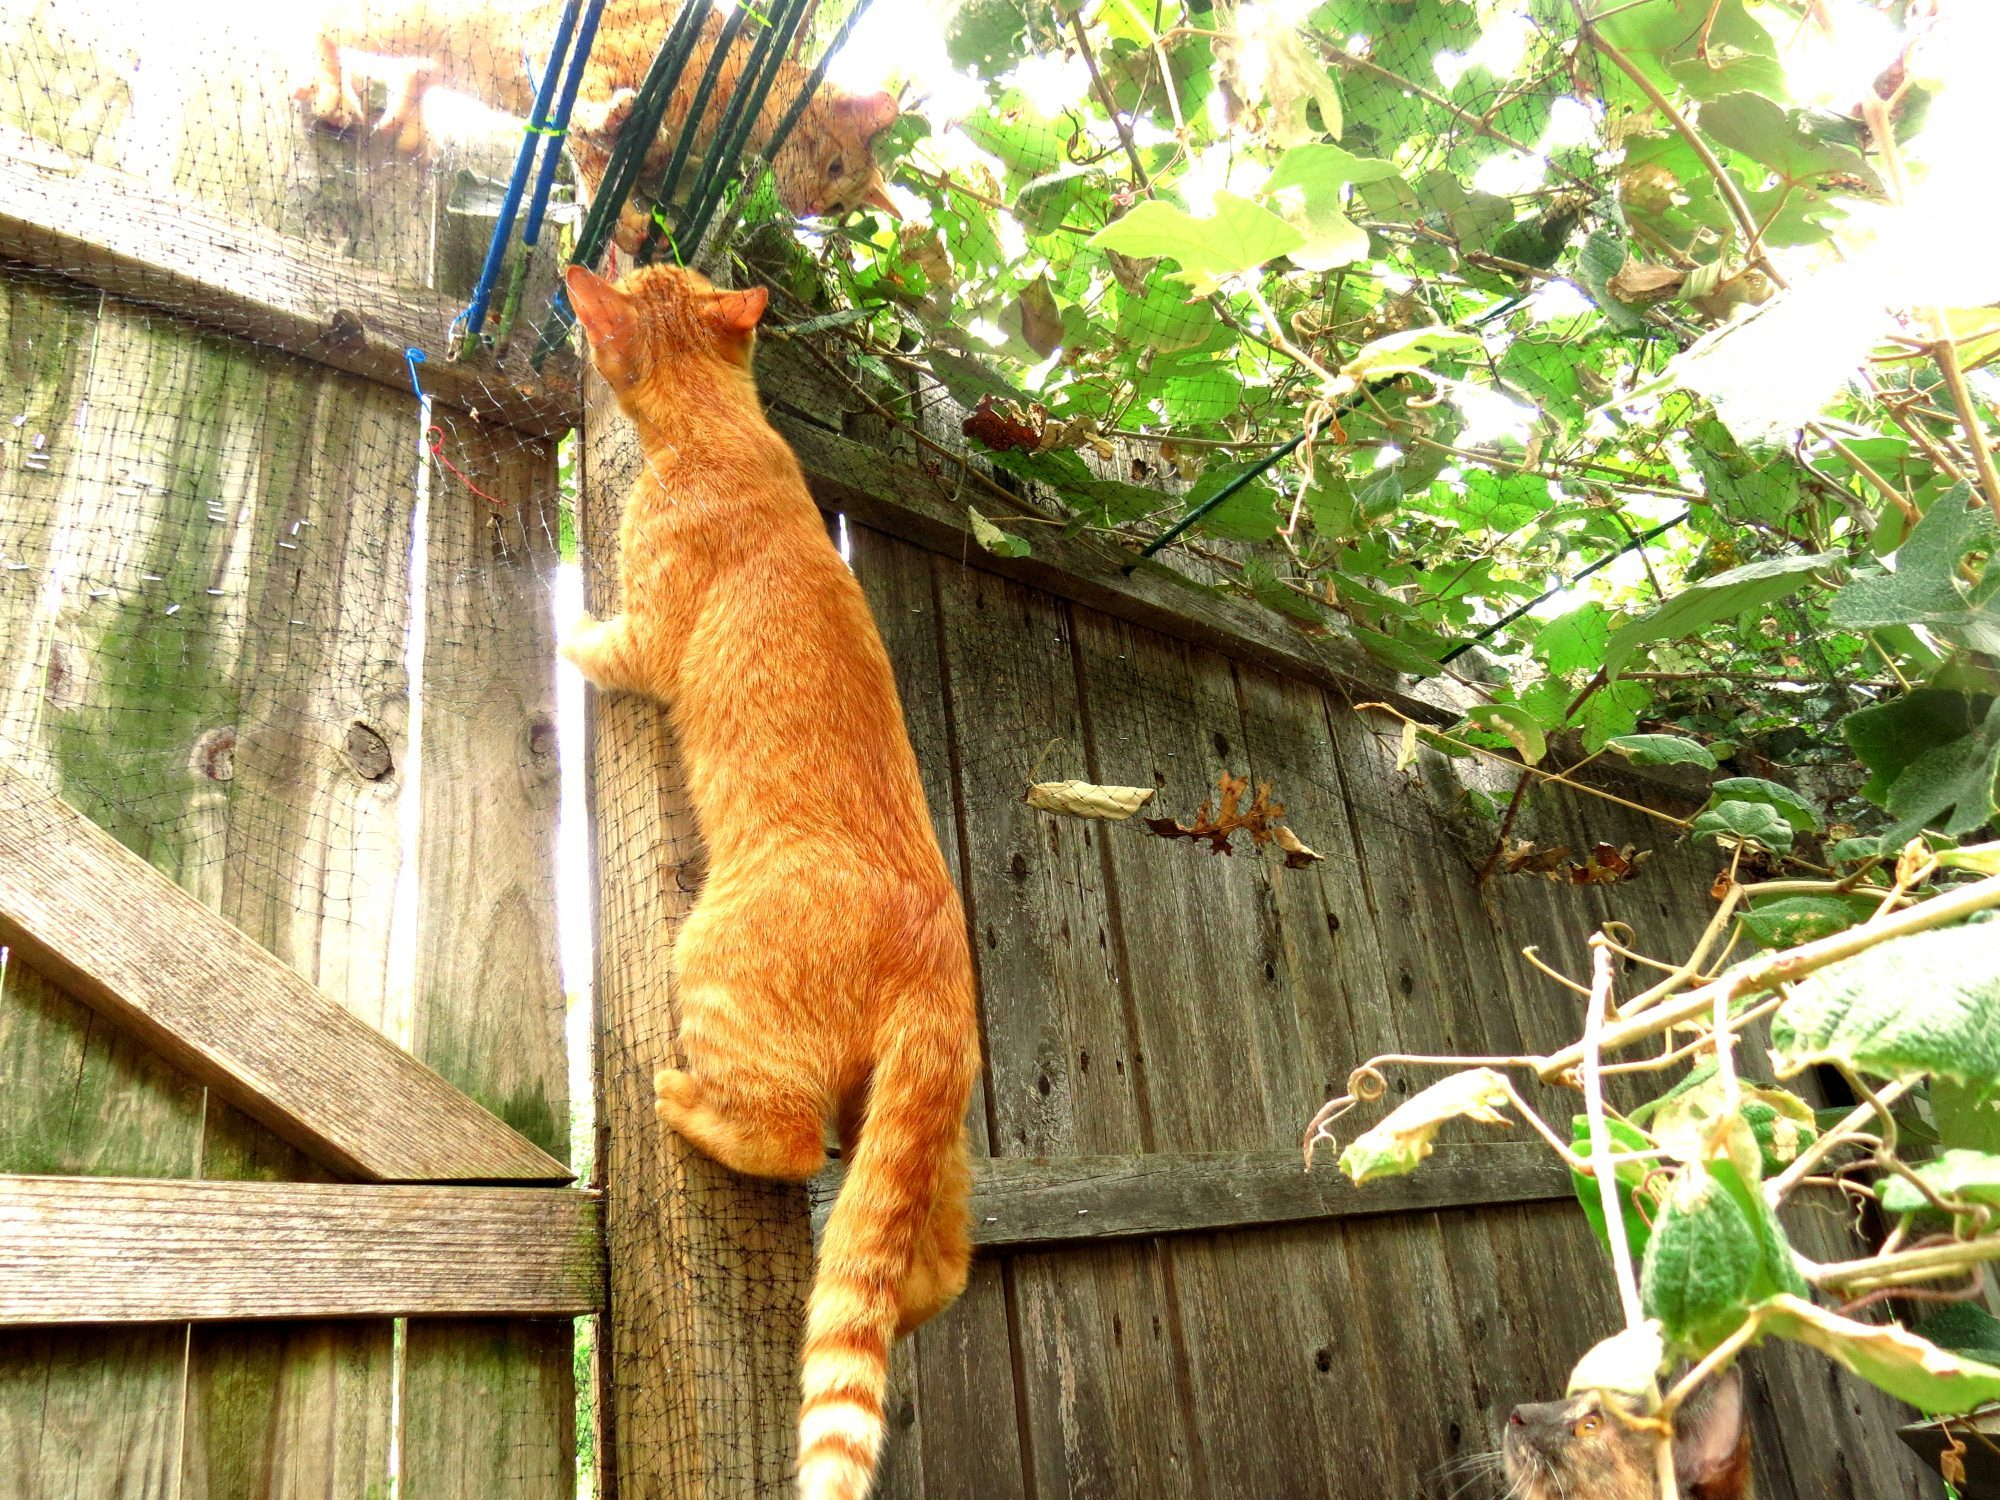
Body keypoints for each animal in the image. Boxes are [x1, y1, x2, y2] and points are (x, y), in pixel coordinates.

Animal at [296, 2, 900, 247]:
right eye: (834, 165)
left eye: (840, 207)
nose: (812, 207)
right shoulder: (571, 57)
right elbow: (588, 133)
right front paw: (621, 204)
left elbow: (608, 160)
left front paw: (633, 209)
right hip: (421, 24)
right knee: (323, 21)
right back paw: (333, 94)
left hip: (463, 58)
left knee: (418, 71)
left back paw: (405, 127)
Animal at [560, 262, 980, 1500]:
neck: (725, 428)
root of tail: (941, 958)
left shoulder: (643, 632)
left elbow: (591, 638)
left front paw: (555, 621)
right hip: (914, 1139)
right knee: (918, 1270)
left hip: (711, 967)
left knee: (787, 1141)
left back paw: (683, 1101)